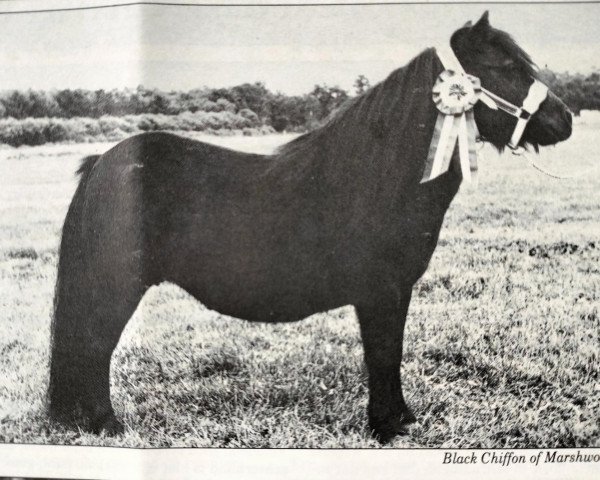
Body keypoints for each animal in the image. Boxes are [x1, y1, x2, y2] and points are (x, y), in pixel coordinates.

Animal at [48, 13, 572, 442]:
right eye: (505, 67)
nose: (565, 120)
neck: (378, 176)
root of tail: (103, 161)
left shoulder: (395, 291)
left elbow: (391, 352)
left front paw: (400, 419)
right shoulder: (380, 292)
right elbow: (383, 353)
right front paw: (387, 427)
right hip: (116, 285)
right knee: (93, 345)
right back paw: (106, 424)